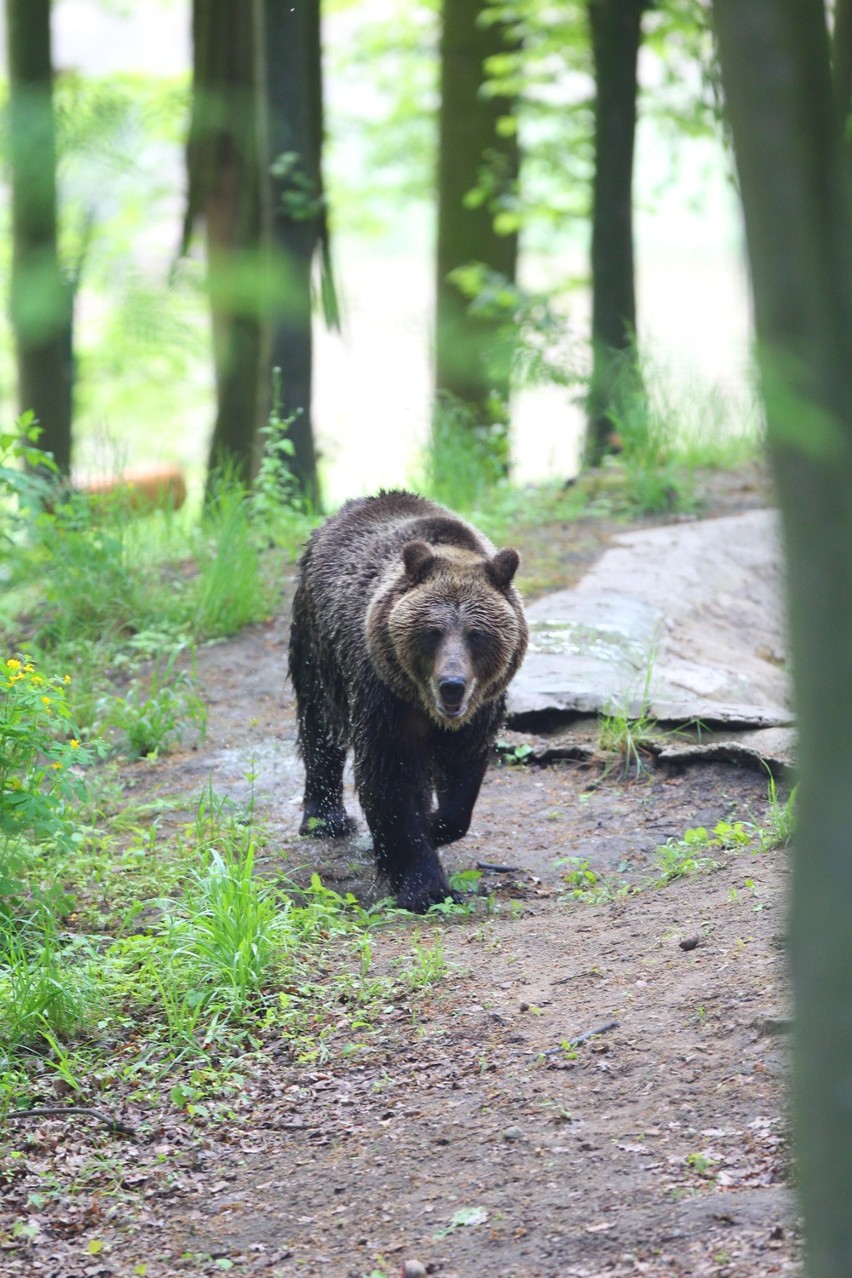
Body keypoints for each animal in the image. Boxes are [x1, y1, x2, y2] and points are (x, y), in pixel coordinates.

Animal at [288, 485, 526, 909]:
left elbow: (462, 780)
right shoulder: (385, 698)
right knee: (320, 725)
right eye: (433, 631)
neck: (427, 707)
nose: (452, 684)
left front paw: (436, 825)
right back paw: (325, 818)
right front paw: (425, 886)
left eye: (477, 634)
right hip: (319, 645)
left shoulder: (480, 710)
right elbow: (391, 780)